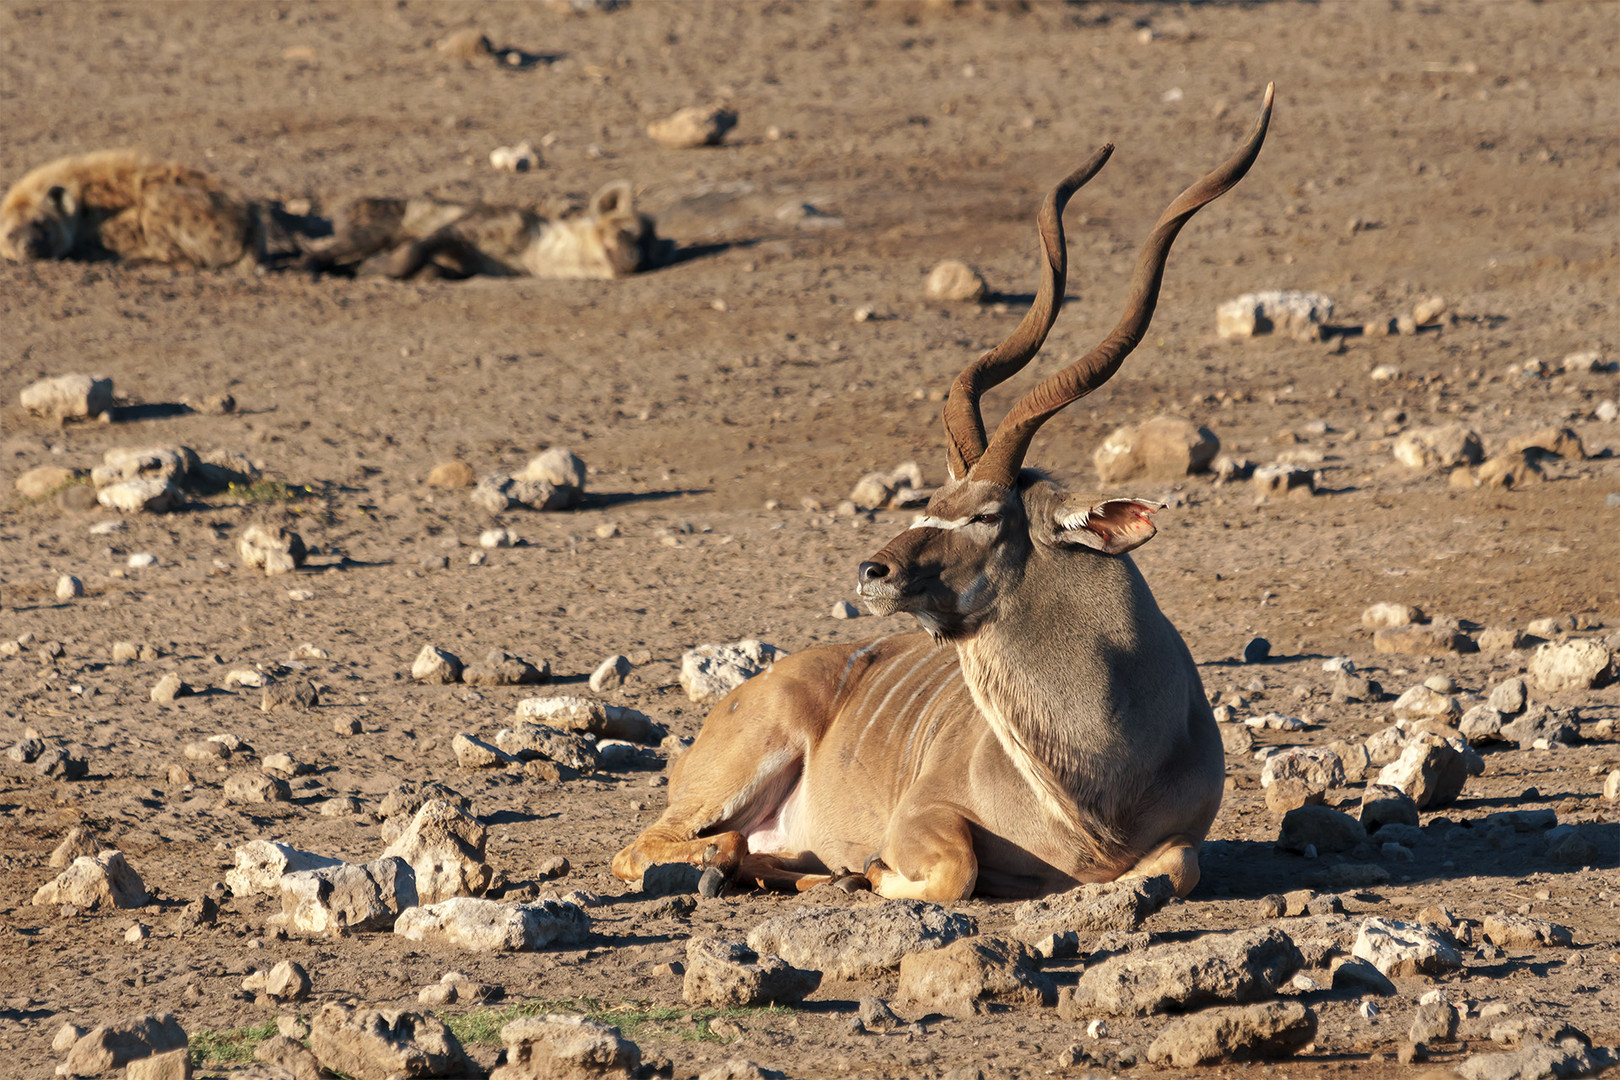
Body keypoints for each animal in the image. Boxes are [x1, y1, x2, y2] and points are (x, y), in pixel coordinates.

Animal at [612, 84, 1270, 906]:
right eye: (928, 501)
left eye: (985, 514)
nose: (873, 572)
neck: (1098, 793)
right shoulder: (922, 817)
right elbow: (955, 870)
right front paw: (868, 870)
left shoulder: (1182, 843)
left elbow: (1177, 865)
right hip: (729, 779)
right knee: (654, 847)